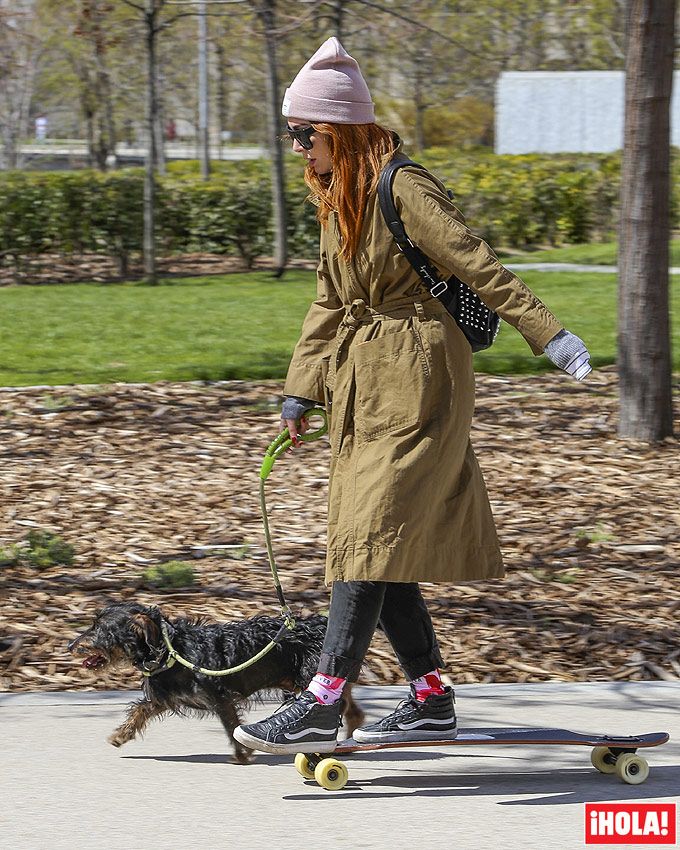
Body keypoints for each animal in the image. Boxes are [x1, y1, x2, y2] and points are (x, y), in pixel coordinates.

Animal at [67, 604, 366, 760]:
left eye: (101, 630)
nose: (71, 645)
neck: (173, 650)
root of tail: (321, 625)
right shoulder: (165, 697)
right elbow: (140, 710)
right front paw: (120, 735)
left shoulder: (220, 698)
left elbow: (231, 726)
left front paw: (243, 755)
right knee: (353, 710)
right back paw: (348, 741)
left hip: (306, 677)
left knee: (339, 707)